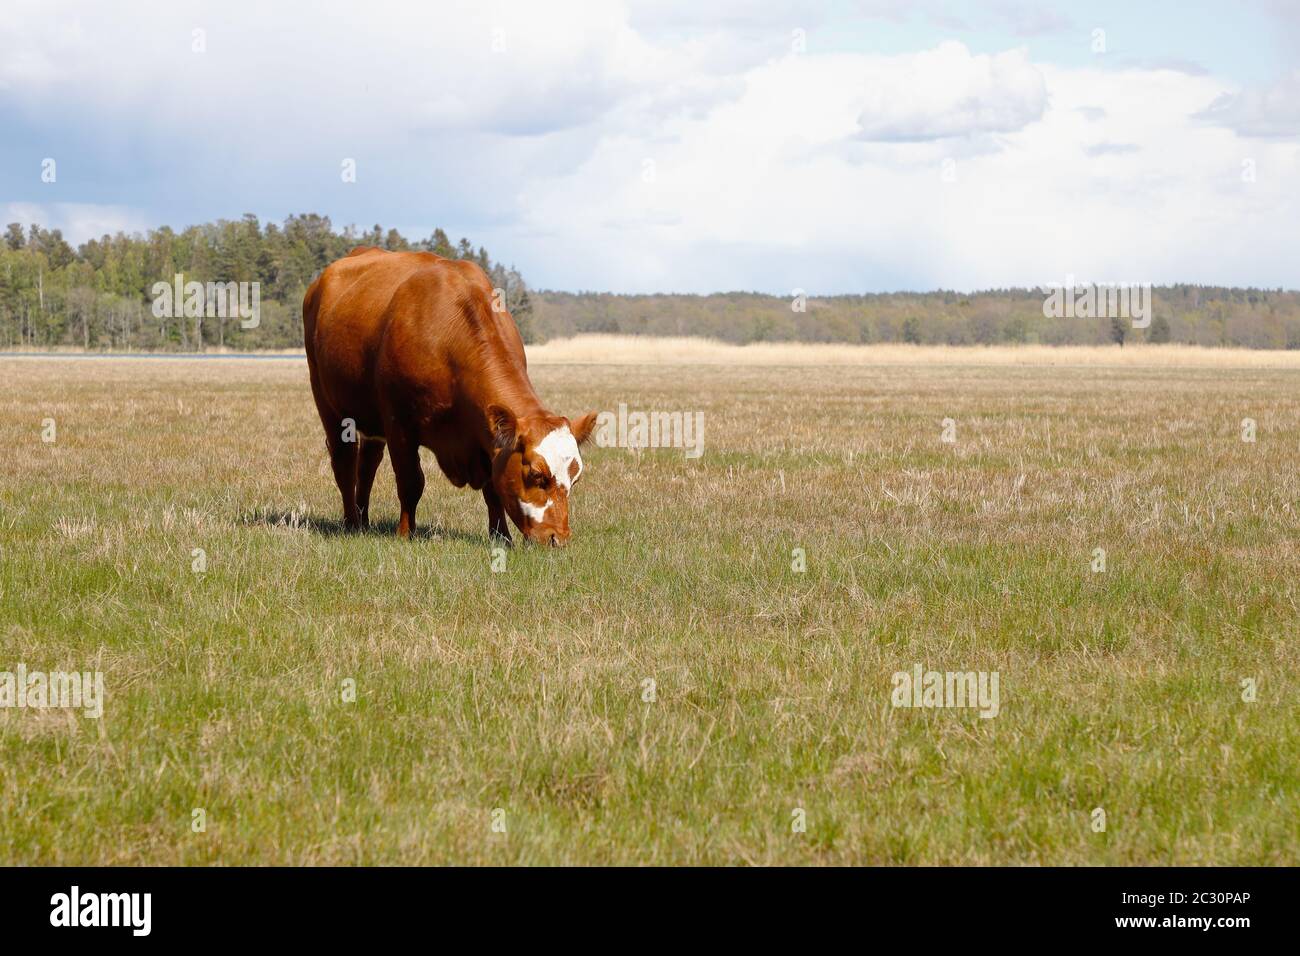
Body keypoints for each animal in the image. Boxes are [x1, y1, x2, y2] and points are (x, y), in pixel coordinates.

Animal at [303, 247, 596, 546]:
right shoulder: (399, 424)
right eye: (536, 475)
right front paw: (405, 533)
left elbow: (493, 490)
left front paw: (501, 537)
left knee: (367, 464)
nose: (557, 538)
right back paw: (351, 522)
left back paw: (363, 521)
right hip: (328, 402)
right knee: (345, 462)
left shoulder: (485, 433)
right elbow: (411, 482)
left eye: (575, 479)